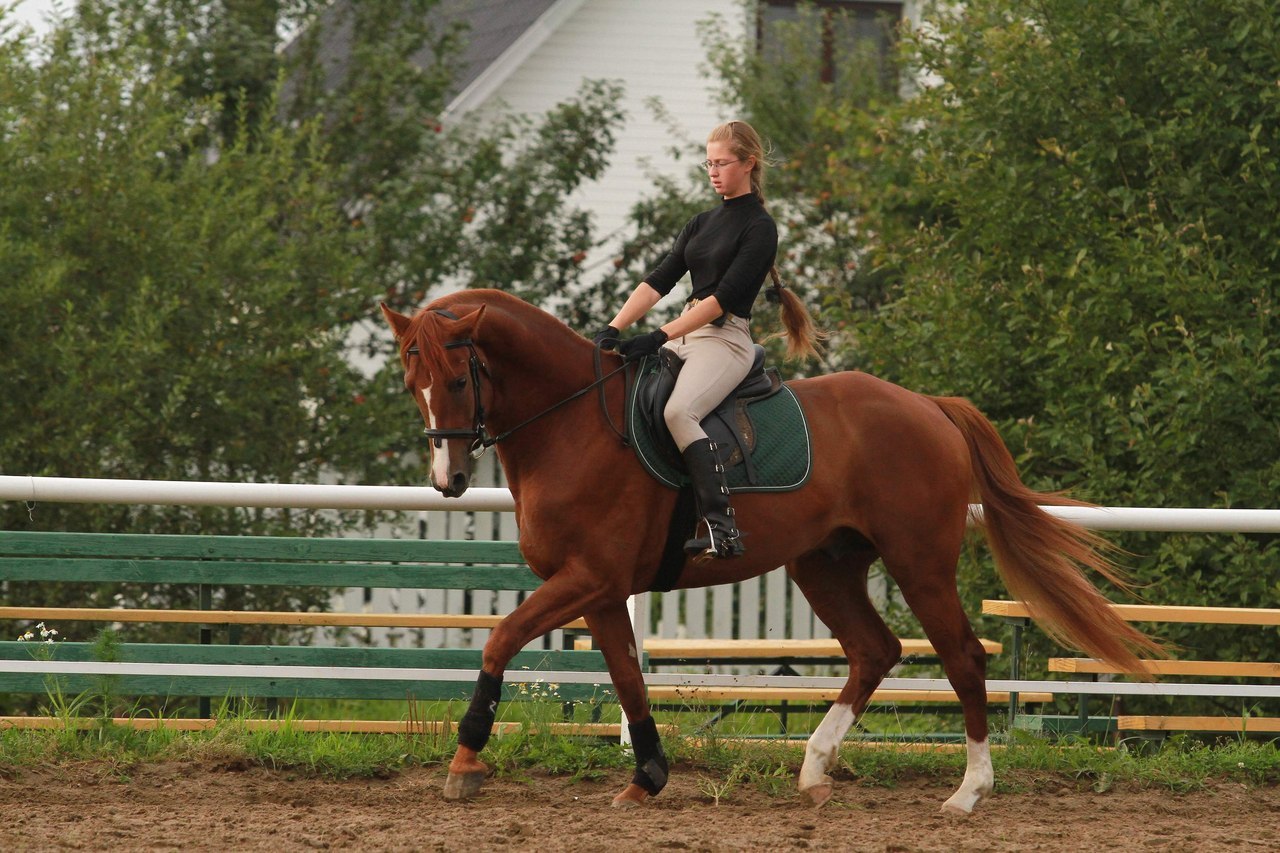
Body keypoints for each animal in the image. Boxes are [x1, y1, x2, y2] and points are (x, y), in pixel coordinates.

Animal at [378, 290, 1162, 809]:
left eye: (458, 379)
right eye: (411, 383)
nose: (448, 480)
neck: (572, 423)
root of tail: (928, 405)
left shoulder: (587, 578)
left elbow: (499, 639)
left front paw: (466, 759)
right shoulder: (601, 588)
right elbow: (627, 679)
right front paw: (648, 775)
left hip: (920, 562)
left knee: (962, 658)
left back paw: (969, 790)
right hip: (825, 565)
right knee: (874, 650)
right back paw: (815, 767)